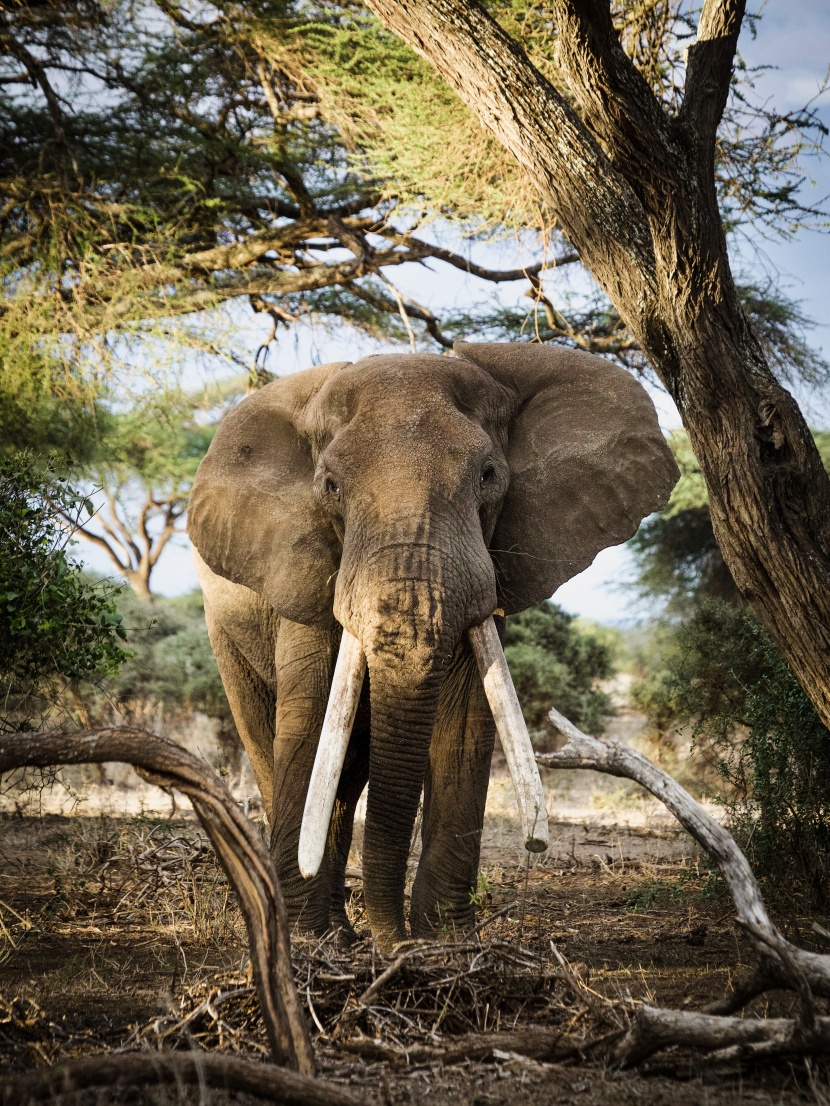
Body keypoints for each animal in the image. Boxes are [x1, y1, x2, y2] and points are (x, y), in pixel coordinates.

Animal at [190, 338, 681, 951]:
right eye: (330, 487)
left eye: (488, 476)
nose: (397, 943)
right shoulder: (303, 568)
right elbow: (311, 721)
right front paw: (303, 942)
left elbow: (465, 718)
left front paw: (446, 944)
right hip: (225, 632)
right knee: (275, 745)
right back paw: (330, 935)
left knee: (349, 776)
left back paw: (347, 936)